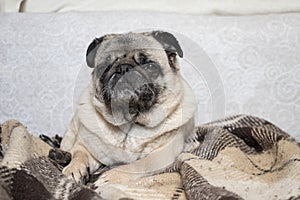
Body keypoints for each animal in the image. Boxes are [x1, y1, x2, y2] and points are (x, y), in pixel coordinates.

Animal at [60, 30, 198, 183]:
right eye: (104, 67)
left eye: (150, 66)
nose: (123, 68)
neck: (130, 119)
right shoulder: (87, 147)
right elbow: (79, 154)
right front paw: (74, 168)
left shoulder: (160, 156)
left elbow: (136, 165)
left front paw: (109, 177)